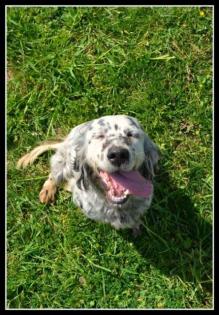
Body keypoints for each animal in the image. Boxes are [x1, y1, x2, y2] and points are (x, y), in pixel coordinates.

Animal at [17, 116, 159, 235]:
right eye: (99, 136)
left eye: (131, 134)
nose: (118, 154)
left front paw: (136, 226)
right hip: (62, 163)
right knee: (54, 175)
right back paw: (48, 190)